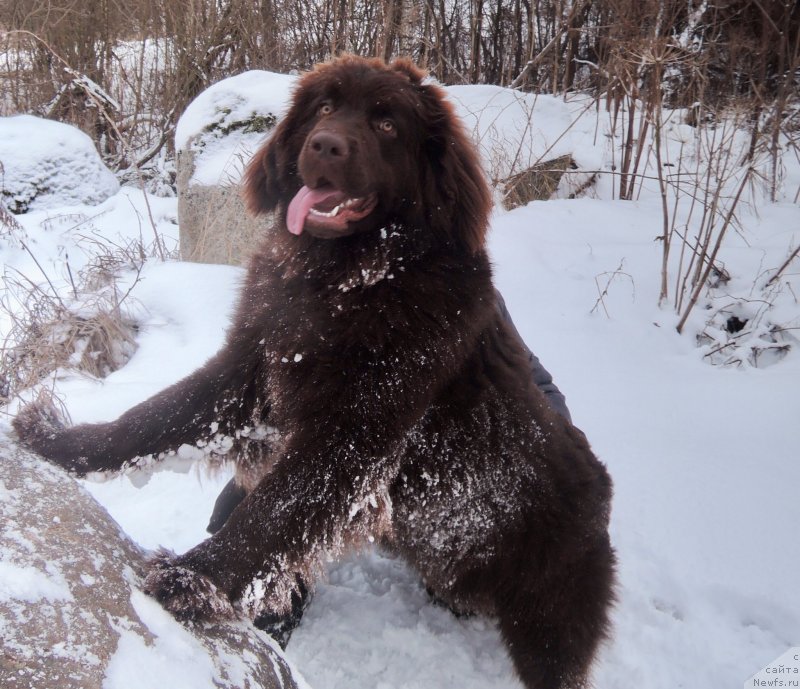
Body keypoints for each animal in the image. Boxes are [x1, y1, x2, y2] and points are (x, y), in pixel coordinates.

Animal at [14, 55, 612, 688]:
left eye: (388, 125)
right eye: (324, 108)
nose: (325, 145)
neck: (344, 281)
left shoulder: (352, 433)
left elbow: (270, 510)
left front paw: (191, 578)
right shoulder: (249, 370)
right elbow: (150, 419)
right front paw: (56, 442)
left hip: (550, 613)